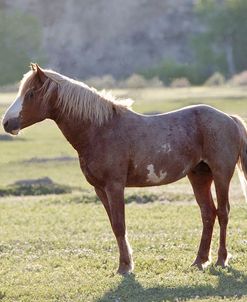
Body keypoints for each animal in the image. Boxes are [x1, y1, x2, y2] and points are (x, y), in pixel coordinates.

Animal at [1, 63, 247, 274]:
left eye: (30, 94)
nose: (6, 123)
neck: (99, 129)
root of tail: (229, 118)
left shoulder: (115, 186)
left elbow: (120, 225)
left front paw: (124, 267)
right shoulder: (100, 189)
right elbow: (114, 225)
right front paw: (125, 263)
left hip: (221, 174)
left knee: (223, 212)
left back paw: (221, 260)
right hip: (199, 176)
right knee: (208, 213)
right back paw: (199, 261)